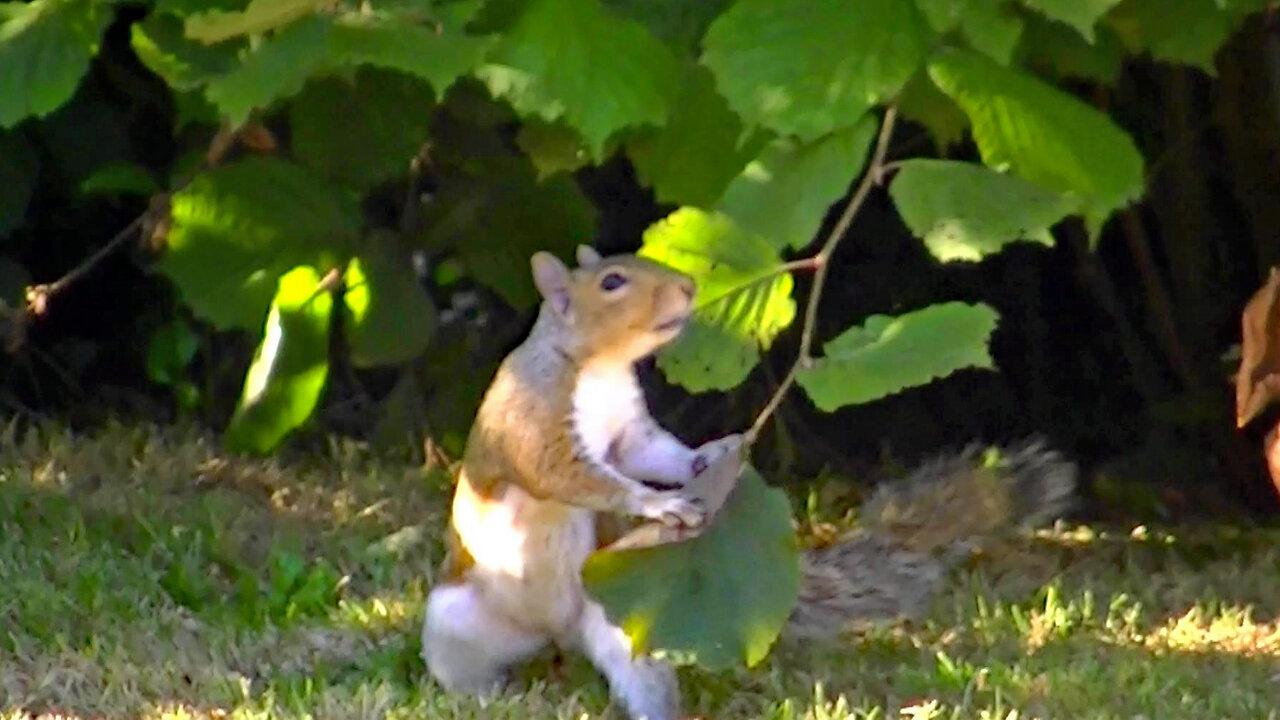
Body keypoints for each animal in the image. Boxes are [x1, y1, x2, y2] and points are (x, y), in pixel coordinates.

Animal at [422, 245, 1080, 717]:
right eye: (611, 283)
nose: (689, 288)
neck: (600, 368)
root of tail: (556, 634)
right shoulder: (535, 423)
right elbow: (572, 475)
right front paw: (656, 505)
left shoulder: (630, 433)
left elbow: (654, 452)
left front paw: (710, 455)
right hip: (456, 619)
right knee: (460, 662)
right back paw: (485, 696)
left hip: (624, 625)